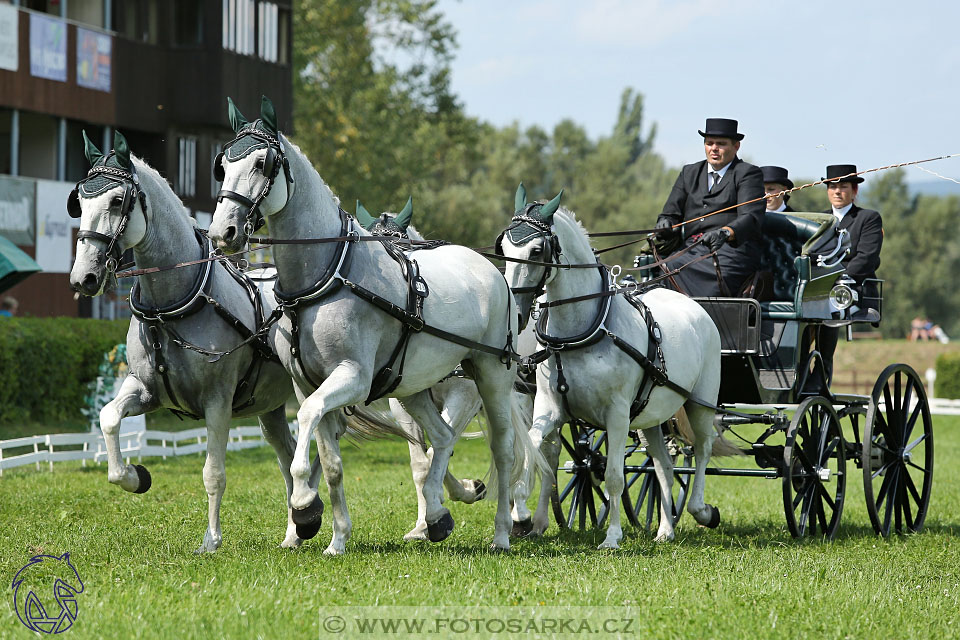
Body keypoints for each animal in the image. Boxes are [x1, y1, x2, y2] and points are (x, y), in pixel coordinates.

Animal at [206, 96, 544, 556]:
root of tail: (493, 273)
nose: (222, 231)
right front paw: (335, 537)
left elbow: (306, 428)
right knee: (440, 437)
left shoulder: (353, 377)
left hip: (491, 374)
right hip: (413, 387)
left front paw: (303, 503)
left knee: (504, 449)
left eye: (263, 162)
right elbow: (330, 462)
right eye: (223, 164)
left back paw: (502, 533)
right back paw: (436, 517)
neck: (324, 278)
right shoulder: (308, 384)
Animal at [498, 186, 724, 552]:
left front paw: (613, 536)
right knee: (663, 466)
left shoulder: (617, 415)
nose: (515, 313)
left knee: (703, 448)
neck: (584, 330)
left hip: (699, 403)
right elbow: (534, 446)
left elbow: (615, 476)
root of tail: (694, 306)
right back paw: (665, 529)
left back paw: (702, 511)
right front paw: (521, 510)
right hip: (651, 418)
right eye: (503, 248)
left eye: (537, 249)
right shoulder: (550, 408)